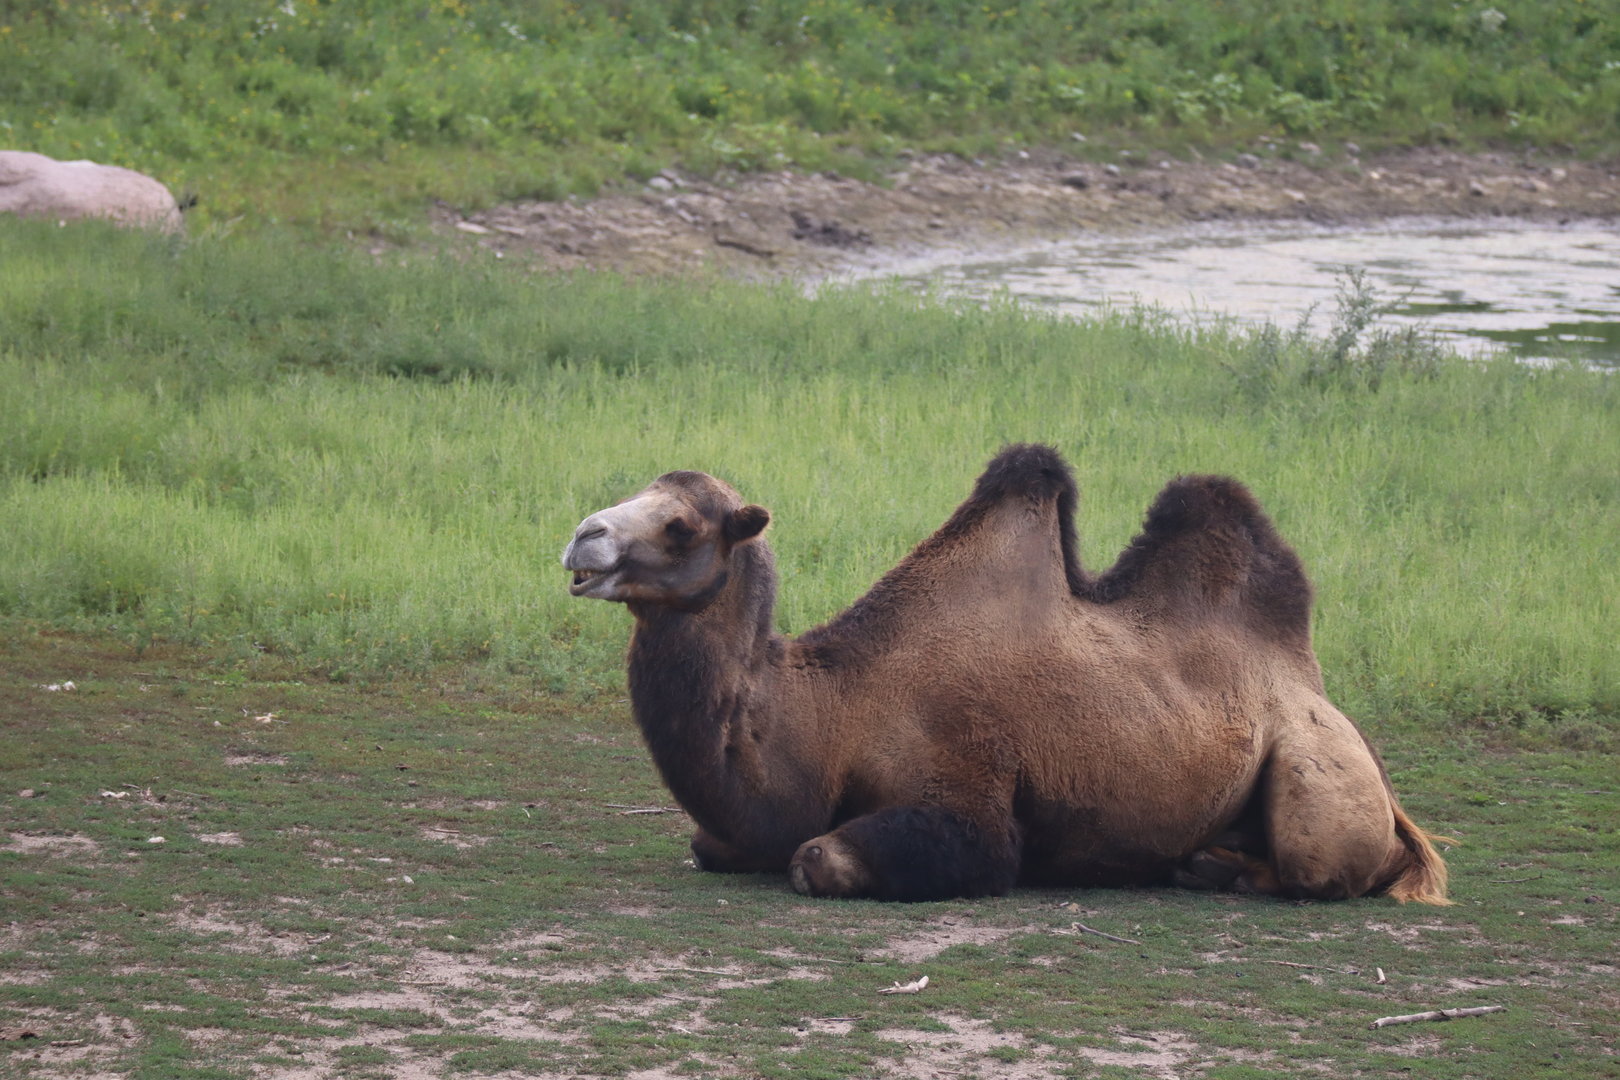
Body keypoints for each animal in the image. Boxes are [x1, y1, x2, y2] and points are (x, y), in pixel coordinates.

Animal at [561, 445, 1451, 904]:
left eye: (681, 526)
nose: (582, 538)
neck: (829, 713)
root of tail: (1319, 691)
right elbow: (713, 843)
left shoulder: (969, 790)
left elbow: (822, 857)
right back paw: (1207, 863)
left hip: (1318, 766)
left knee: (1327, 874)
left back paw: (1224, 870)